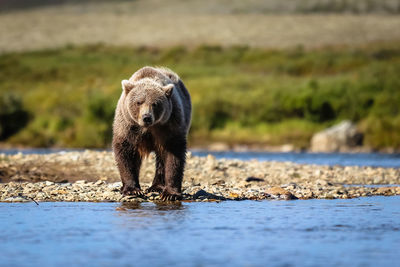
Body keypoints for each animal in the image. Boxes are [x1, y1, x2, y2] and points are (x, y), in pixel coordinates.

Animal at [111, 66, 191, 201]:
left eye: (155, 104)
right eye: (139, 102)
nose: (146, 117)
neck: (148, 129)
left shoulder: (169, 124)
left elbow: (174, 155)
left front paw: (170, 194)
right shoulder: (128, 126)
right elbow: (125, 152)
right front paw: (132, 190)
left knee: (161, 159)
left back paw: (157, 186)